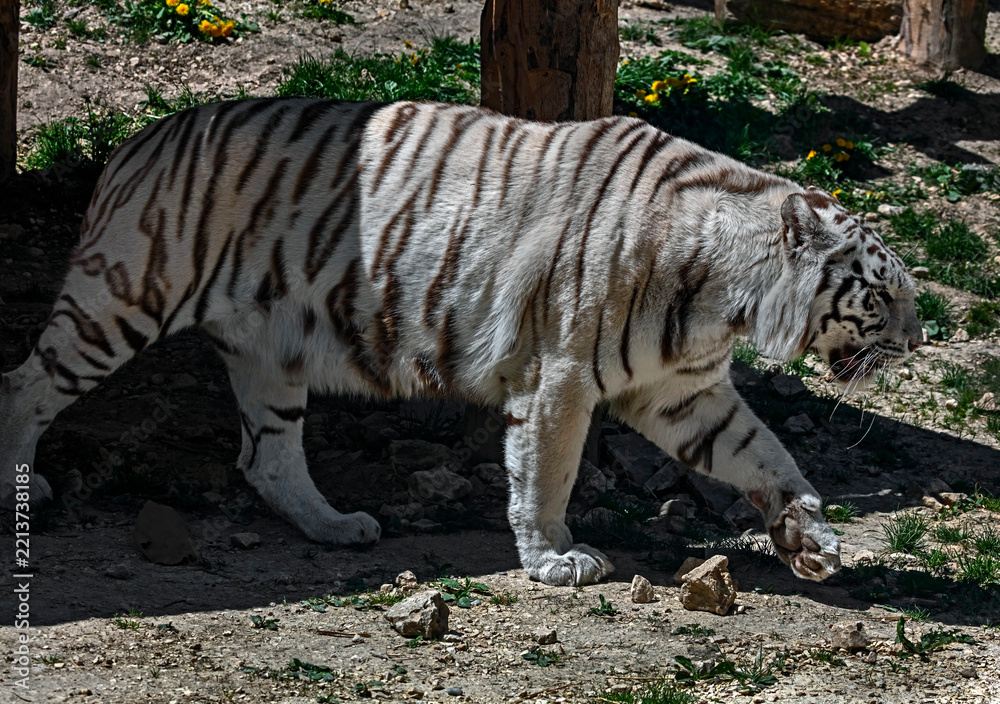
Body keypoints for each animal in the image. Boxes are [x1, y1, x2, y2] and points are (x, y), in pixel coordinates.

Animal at [0, 98, 923, 586]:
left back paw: (336, 527)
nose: (917, 345)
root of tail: (139, 138)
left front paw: (810, 539)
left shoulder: (683, 391)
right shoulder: (561, 376)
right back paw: (23, 485)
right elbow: (546, 472)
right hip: (121, 302)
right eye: (882, 292)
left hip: (273, 350)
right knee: (22, 385)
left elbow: (765, 453)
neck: (727, 297)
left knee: (266, 458)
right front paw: (555, 558)